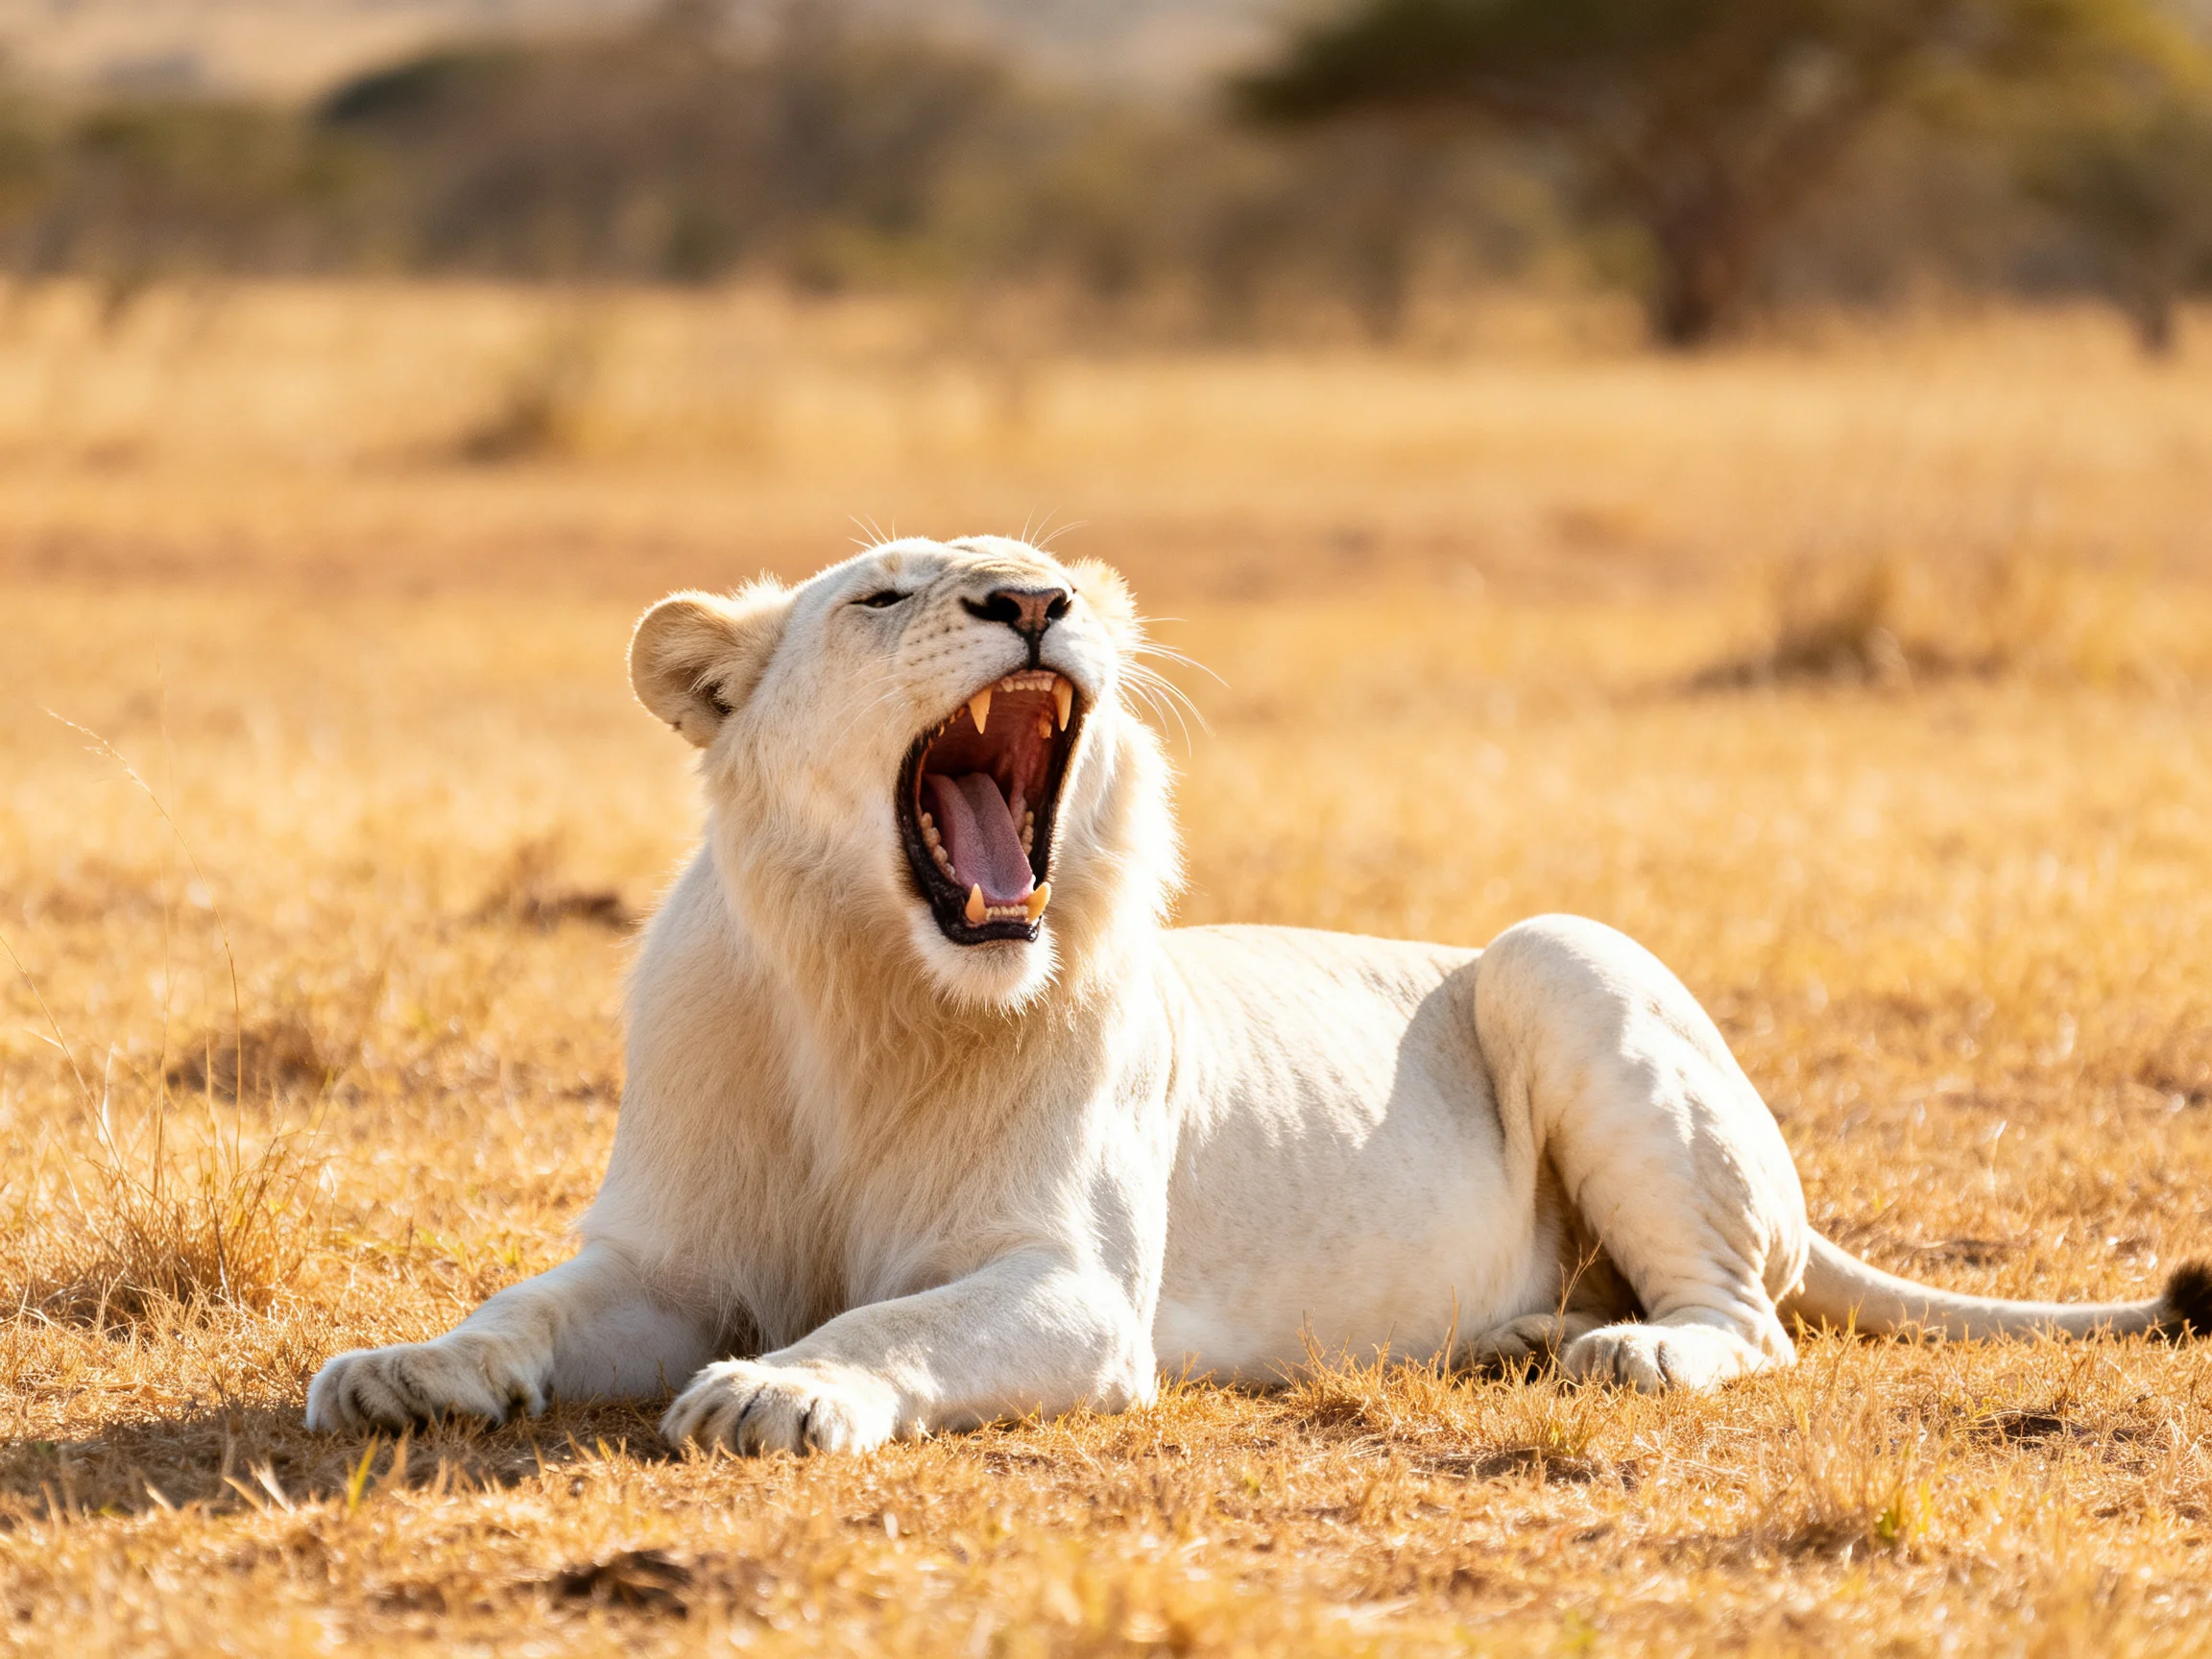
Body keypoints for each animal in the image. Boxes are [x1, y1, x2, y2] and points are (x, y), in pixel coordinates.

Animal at [306, 536, 2211, 1452]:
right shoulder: (665, 1259)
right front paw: (399, 1371)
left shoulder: (1078, 1295)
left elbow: (880, 1325)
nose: (1034, 601)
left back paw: (1613, 1349)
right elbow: (520, 1309)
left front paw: (780, 1392)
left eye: (1043, 569)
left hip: (1558, 955)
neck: (875, 991)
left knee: (1750, 1322)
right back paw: (1516, 1331)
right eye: (890, 591)